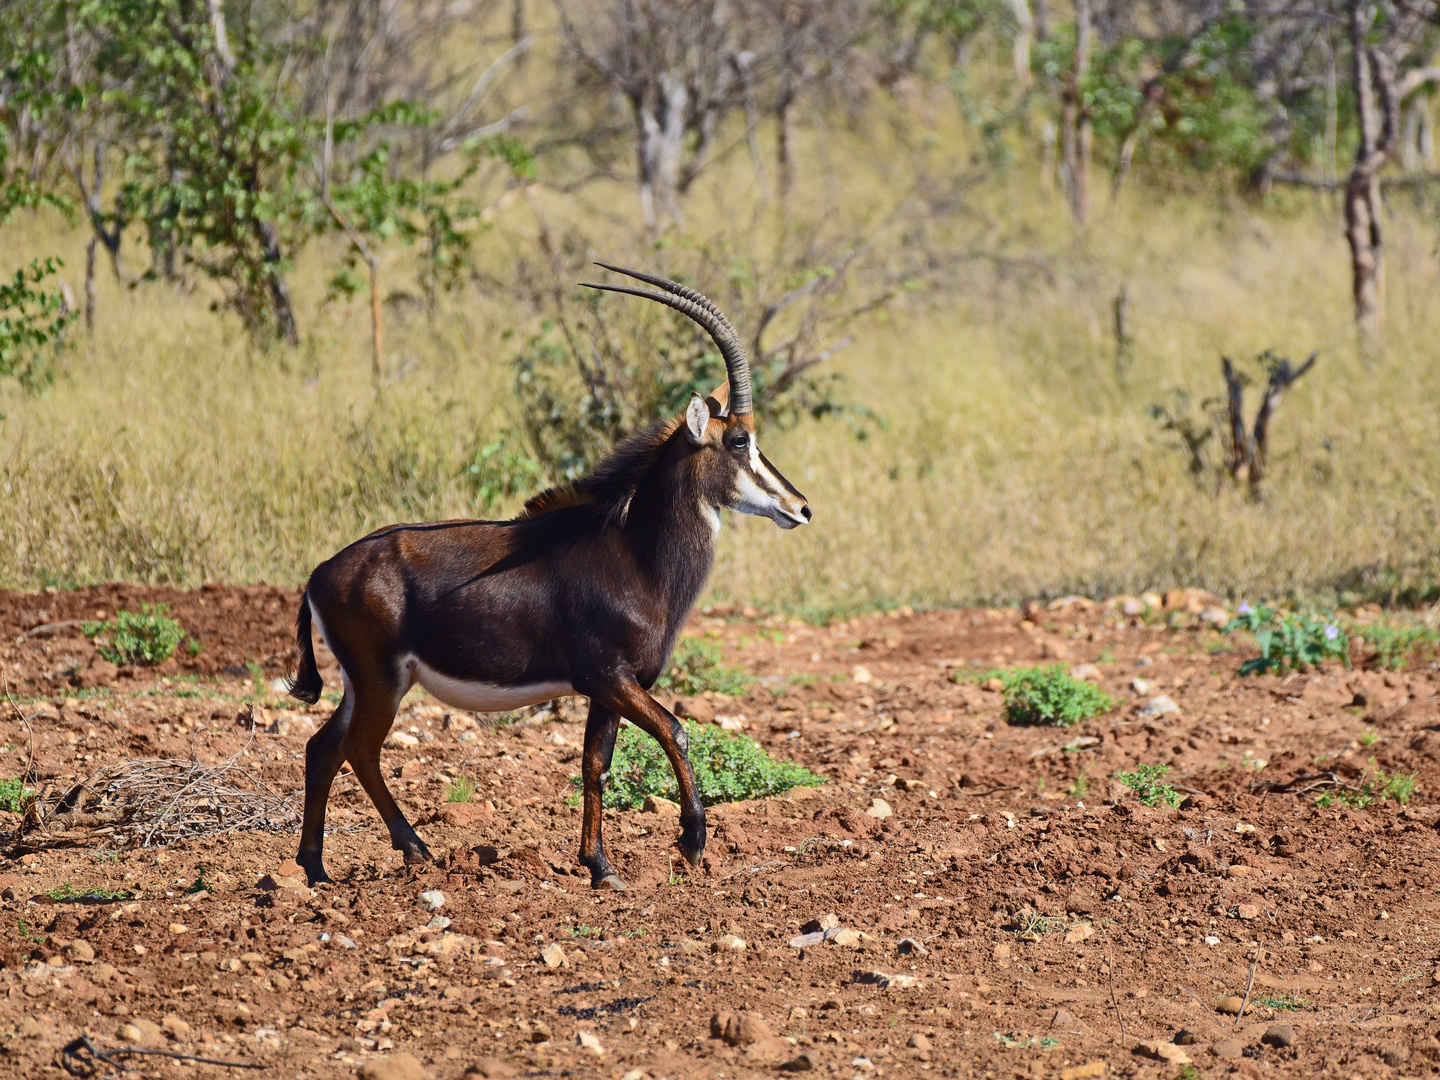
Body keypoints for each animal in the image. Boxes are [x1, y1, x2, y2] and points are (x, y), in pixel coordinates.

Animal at [283, 266, 812, 892]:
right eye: (739, 441)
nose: (801, 508)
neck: (632, 551)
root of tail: (318, 574)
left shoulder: (612, 689)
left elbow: (595, 765)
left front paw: (601, 867)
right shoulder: (609, 677)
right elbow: (675, 731)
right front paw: (690, 842)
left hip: (365, 683)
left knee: (323, 748)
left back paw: (316, 868)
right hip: (381, 681)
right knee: (360, 751)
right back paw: (414, 851)